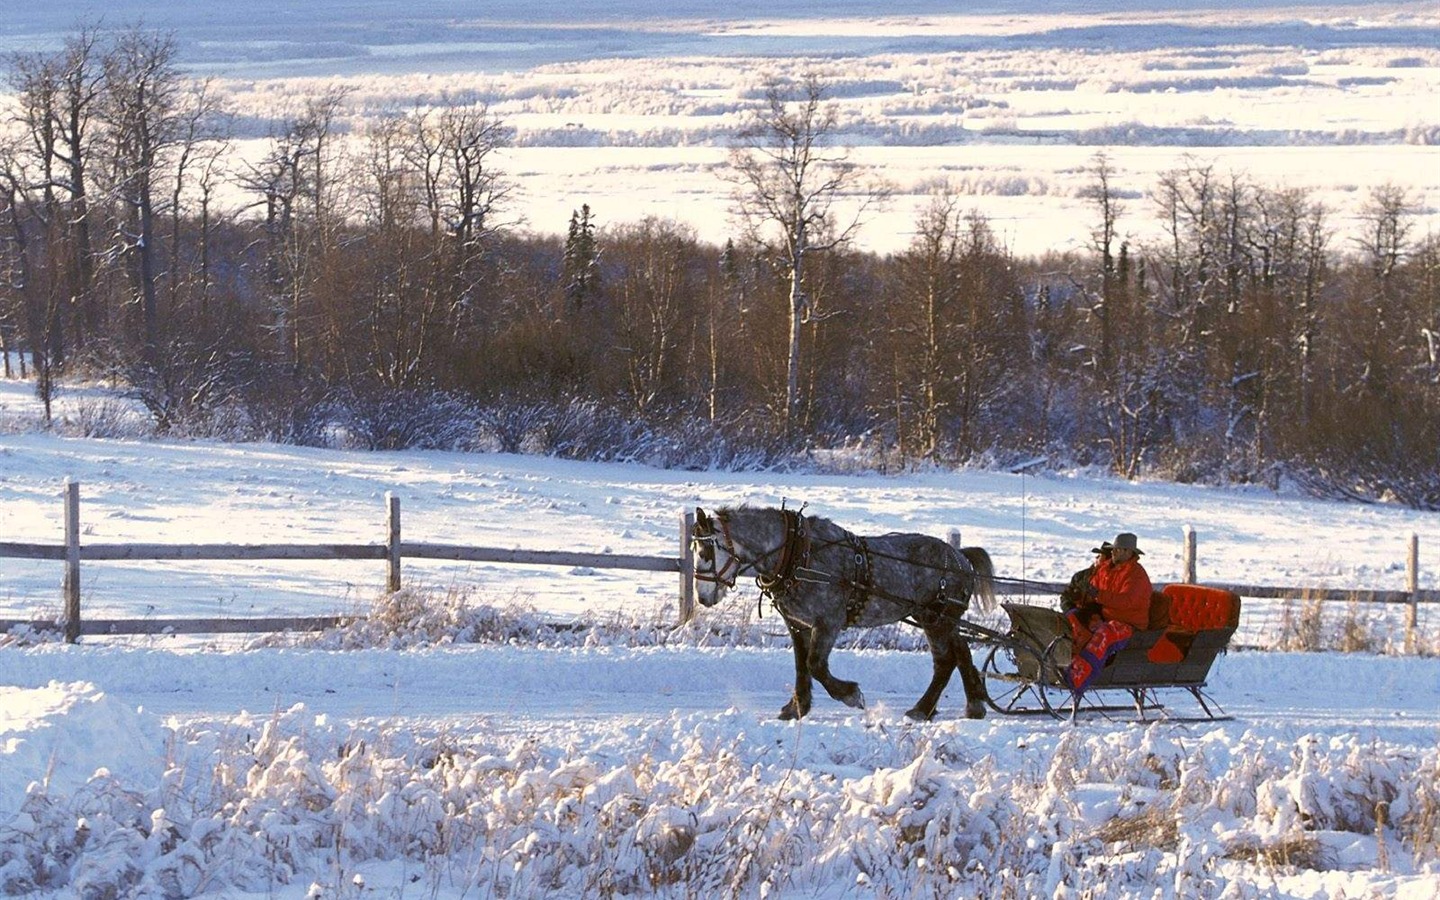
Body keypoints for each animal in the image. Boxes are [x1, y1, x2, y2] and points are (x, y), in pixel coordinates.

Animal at [691, 506, 996, 722]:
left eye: (706, 551)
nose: (702, 598)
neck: (798, 555)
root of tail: (961, 558)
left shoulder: (828, 622)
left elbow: (815, 664)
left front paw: (850, 695)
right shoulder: (798, 624)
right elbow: (801, 666)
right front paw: (797, 707)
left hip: (937, 618)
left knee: (946, 660)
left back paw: (922, 709)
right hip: (938, 619)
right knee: (960, 652)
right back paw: (972, 705)